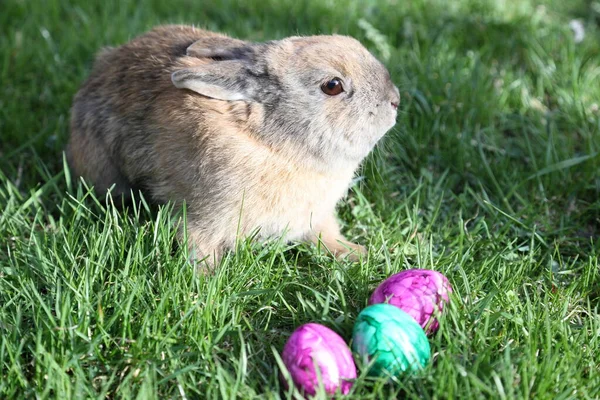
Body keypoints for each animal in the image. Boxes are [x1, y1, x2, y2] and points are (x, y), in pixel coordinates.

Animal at [67, 24, 398, 268]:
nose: (394, 100)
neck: (274, 143)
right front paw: (203, 287)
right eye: (332, 86)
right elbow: (199, 247)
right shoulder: (202, 219)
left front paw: (354, 252)